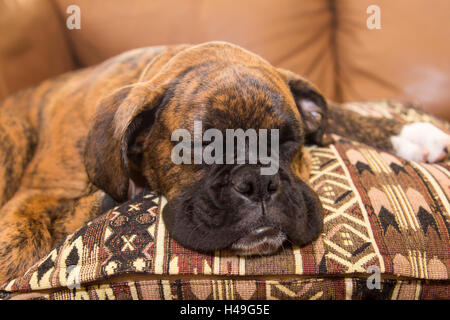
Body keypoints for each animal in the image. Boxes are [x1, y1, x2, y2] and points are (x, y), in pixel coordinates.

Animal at [0, 42, 450, 282]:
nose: (259, 181)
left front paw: (411, 134)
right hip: (15, 133)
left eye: (287, 141)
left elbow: (334, 110)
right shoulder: (29, 209)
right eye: (204, 148)